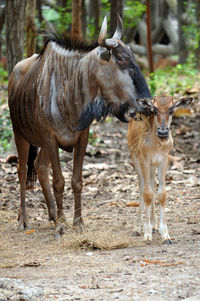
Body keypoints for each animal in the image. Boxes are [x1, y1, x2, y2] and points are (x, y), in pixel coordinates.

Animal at [127, 95, 193, 243]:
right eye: (154, 109)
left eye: (172, 109)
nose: (163, 131)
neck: (157, 144)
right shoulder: (144, 159)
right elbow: (147, 193)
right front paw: (146, 233)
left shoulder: (163, 159)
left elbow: (161, 194)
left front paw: (165, 235)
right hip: (135, 157)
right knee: (142, 186)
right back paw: (137, 228)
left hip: (153, 166)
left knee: (152, 184)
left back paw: (154, 225)